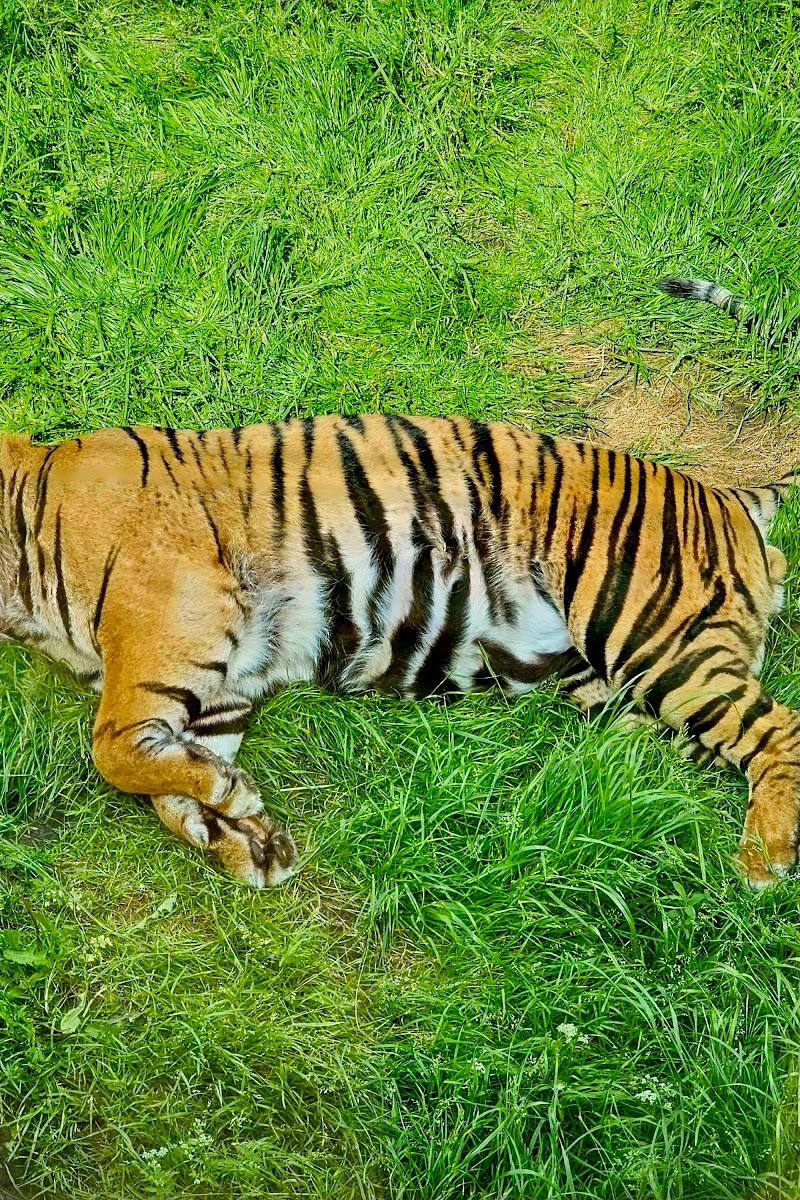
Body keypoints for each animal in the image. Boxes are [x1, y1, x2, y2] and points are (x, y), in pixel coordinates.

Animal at [0, 414, 797, 889]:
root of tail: (728, 496)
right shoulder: (215, 694)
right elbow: (166, 788)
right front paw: (249, 838)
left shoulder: (164, 649)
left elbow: (111, 754)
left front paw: (235, 811)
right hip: (619, 692)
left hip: (654, 636)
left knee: (779, 730)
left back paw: (764, 859)